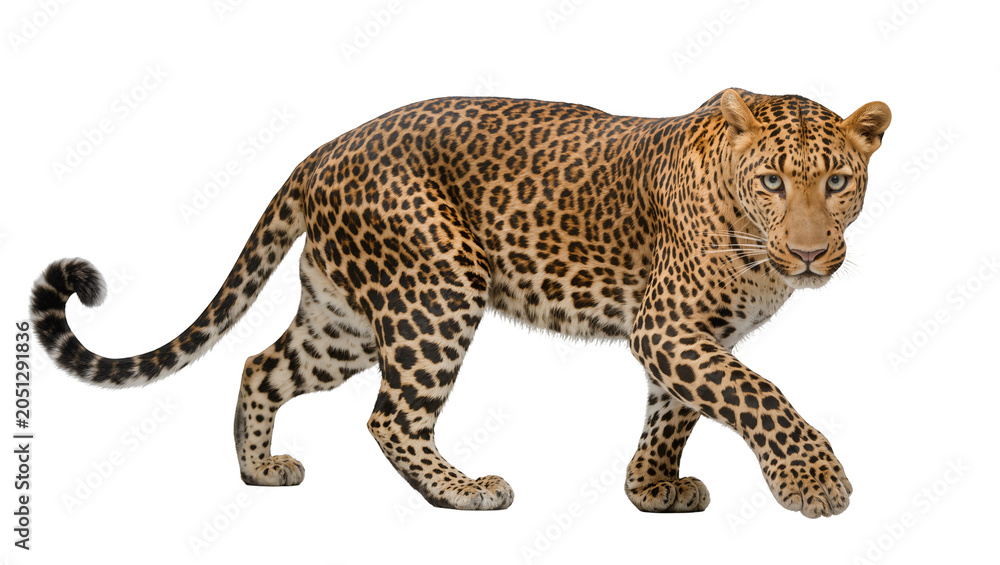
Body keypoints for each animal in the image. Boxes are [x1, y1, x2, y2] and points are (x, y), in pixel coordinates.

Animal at [30, 88, 890, 518]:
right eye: (772, 181)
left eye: (837, 181)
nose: (808, 252)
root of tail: (325, 149)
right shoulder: (671, 325)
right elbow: (759, 395)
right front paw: (815, 484)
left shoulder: (694, 336)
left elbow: (675, 409)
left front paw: (651, 488)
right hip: (436, 292)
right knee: (390, 416)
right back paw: (463, 491)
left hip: (342, 317)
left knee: (260, 364)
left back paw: (260, 470)